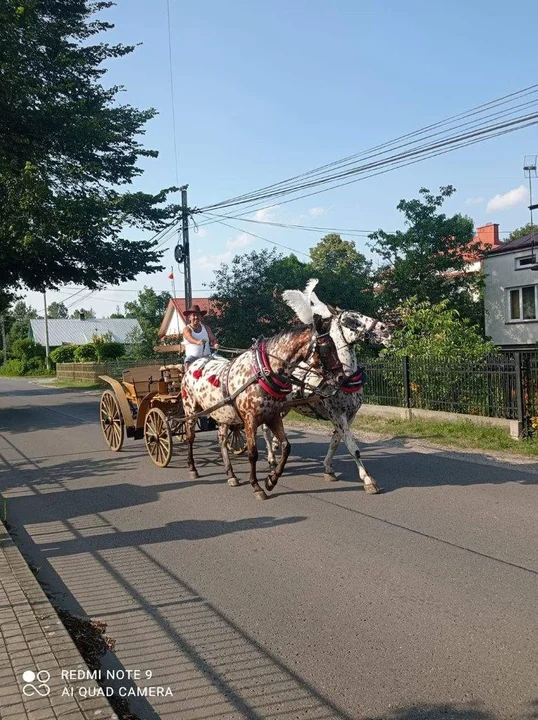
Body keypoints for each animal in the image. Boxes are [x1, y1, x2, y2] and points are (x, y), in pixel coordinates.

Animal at [179, 284, 340, 498]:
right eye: (327, 348)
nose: (341, 377)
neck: (262, 371)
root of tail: (194, 364)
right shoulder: (250, 420)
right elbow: (253, 453)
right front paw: (256, 486)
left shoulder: (273, 417)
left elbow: (286, 446)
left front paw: (271, 480)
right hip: (191, 410)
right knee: (190, 438)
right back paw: (192, 468)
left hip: (222, 413)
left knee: (221, 440)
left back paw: (231, 475)